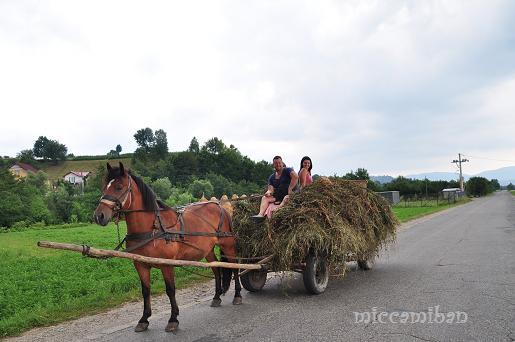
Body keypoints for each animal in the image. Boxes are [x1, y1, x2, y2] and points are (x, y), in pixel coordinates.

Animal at [92, 162, 242, 332]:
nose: (99, 216)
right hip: (207, 250)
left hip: (228, 245)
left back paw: (237, 295)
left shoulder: (167, 264)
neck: (153, 228)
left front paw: (173, 319)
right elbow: (145, 291)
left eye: (119, 187)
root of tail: (221, 207)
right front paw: (144, 319)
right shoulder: (140, 264)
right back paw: (216, 297)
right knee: (216, 269)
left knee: (234, 267)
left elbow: (170, 290)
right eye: (104, 187)